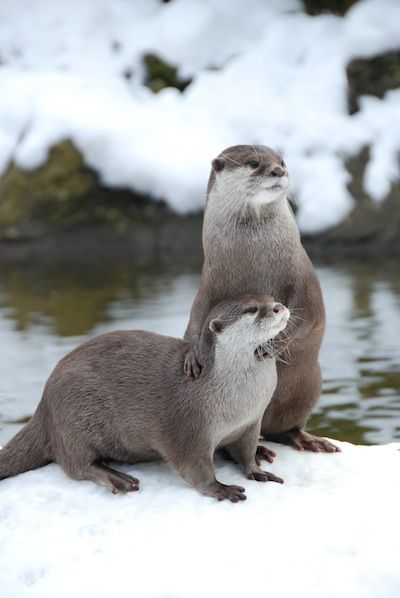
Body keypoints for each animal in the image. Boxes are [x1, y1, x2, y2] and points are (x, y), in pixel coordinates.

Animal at [0, 296, 288, 502]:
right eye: (252, 309)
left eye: (271, 297)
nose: (279, 307)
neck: (236, 401)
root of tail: (44, 405)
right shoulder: (188, 427)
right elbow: (193, 466)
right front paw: (220, 488)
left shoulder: (250, 423)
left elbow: (246, 452)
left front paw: (256, 470)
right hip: (71, 417)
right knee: (75, 465)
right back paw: (115, 477)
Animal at [184, 146, 338, 454]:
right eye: (254, 163)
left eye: (282, 161)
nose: (278, 171)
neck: (254, 258)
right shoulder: (208, 284)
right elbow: (196, 317)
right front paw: (193, 355)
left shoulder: (303, 279)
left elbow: (309, 314)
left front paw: (273, 345)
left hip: (309, 386)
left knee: (282, 427)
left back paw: (306, 440)